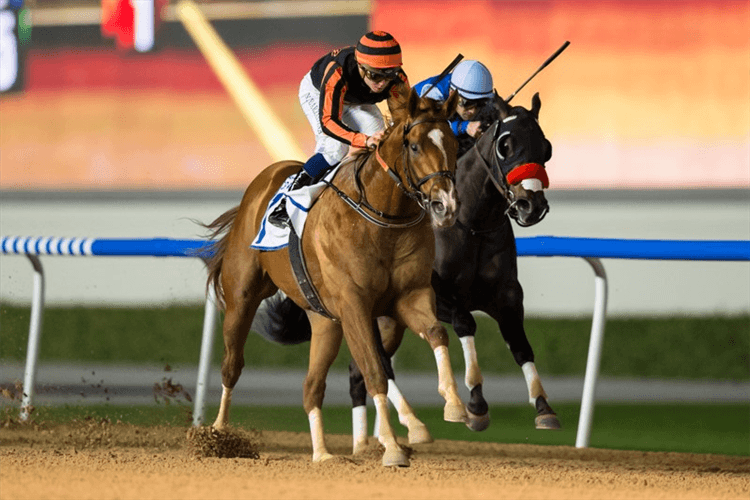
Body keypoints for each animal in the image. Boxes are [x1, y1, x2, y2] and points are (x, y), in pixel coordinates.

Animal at [203, 88, 468, 466]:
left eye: (454, 144)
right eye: (415, 146)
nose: (446, 204)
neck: (383, 215)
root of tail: (263, 181)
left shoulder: (410, 296)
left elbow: (436, 333)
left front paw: (454, 406)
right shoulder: (354, 303)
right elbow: (373, 369)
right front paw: (392, 447)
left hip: (324, 321)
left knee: (311, 387)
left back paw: (323, 454)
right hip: (243, 297)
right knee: (231, 365)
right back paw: (219, 434)